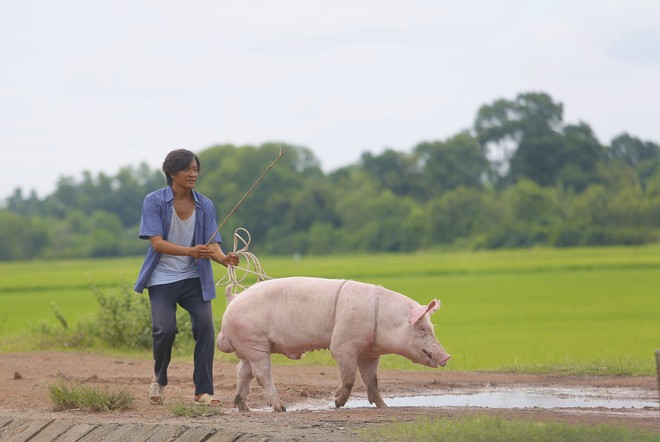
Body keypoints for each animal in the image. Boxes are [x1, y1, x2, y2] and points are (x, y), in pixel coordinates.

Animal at [215, 278, 448, 412]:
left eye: (431, 327)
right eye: (422, 329)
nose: (447, 357)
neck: (382, 321)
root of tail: (233, 299)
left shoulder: (369, 352)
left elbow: (372, 379)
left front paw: (384, 406)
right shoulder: (343, 345)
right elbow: (350, 377)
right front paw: (337, 403)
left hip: (248, 346)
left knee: (242, 371)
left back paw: (244, 408)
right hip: (255, 342)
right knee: (262, 374)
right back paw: (280, 408)